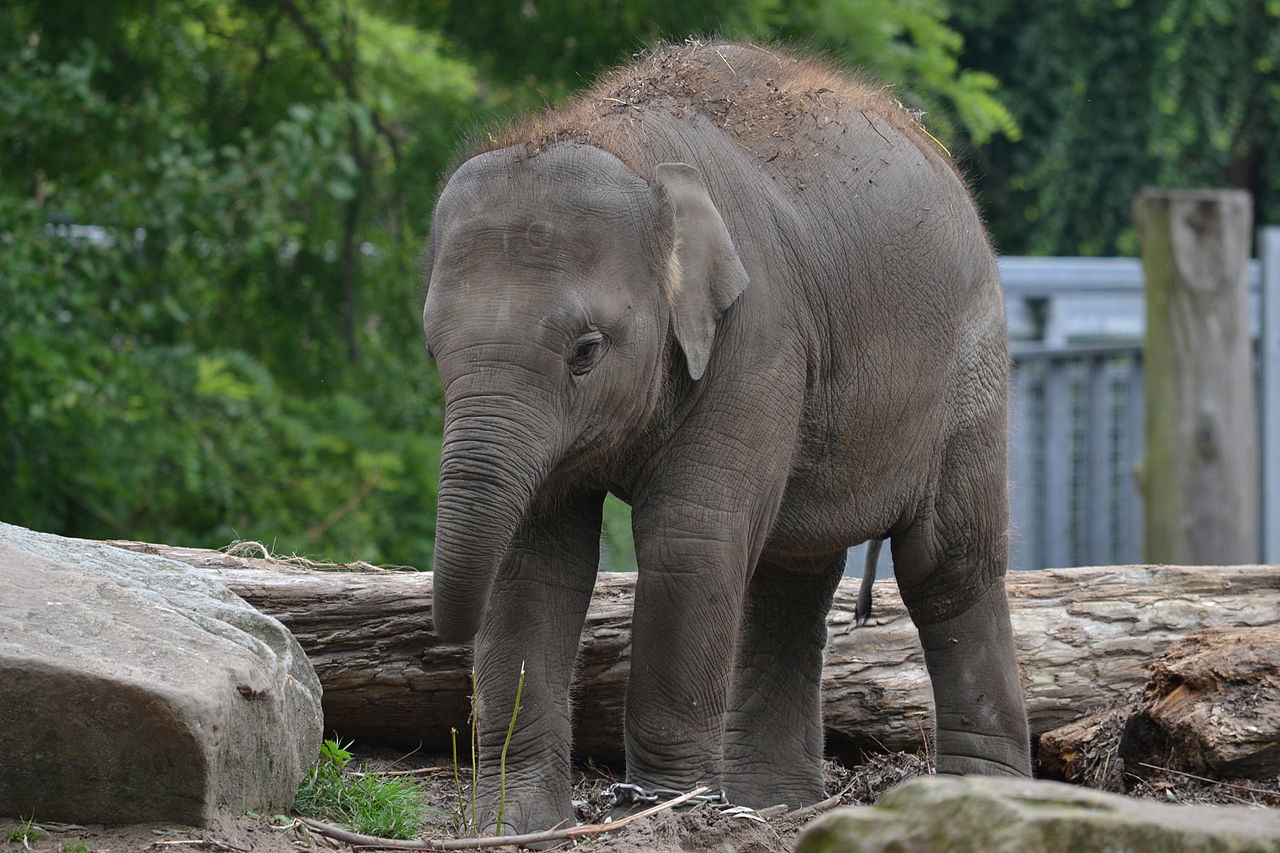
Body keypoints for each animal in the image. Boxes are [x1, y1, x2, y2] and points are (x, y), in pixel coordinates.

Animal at [424, 39, 1034, 829]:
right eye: (433, 351)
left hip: (971, 369)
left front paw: (660, 809)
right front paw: (524, 823)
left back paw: (981, 795)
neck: (623, 144)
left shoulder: (759, 334)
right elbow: (536, 560)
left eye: (586, 351)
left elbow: (690, 538)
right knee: (791, 572)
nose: (443, 639)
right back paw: (773, 804)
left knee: (948, 567)